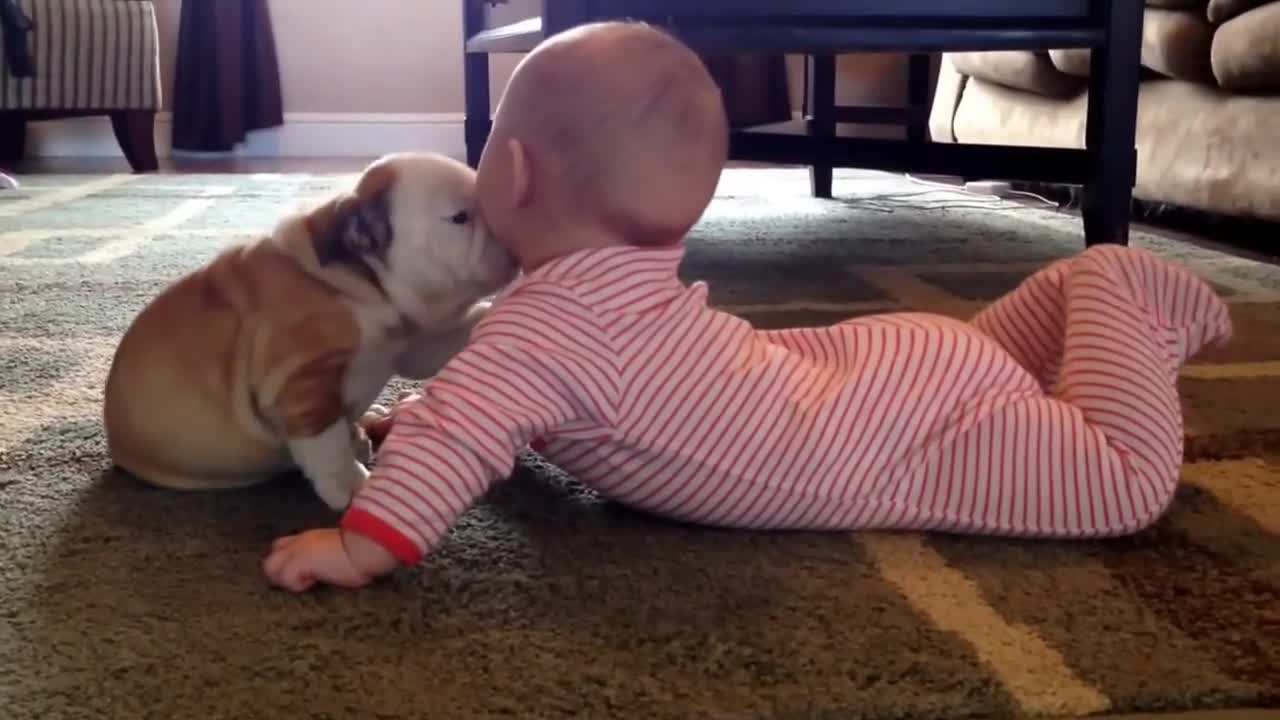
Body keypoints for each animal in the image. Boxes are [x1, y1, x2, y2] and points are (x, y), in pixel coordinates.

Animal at [103, 151, 514, 509]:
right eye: (460, 218)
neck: (360, 281)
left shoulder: (412, 342)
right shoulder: (302, 383)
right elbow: (326, 441)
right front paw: (349, 484)